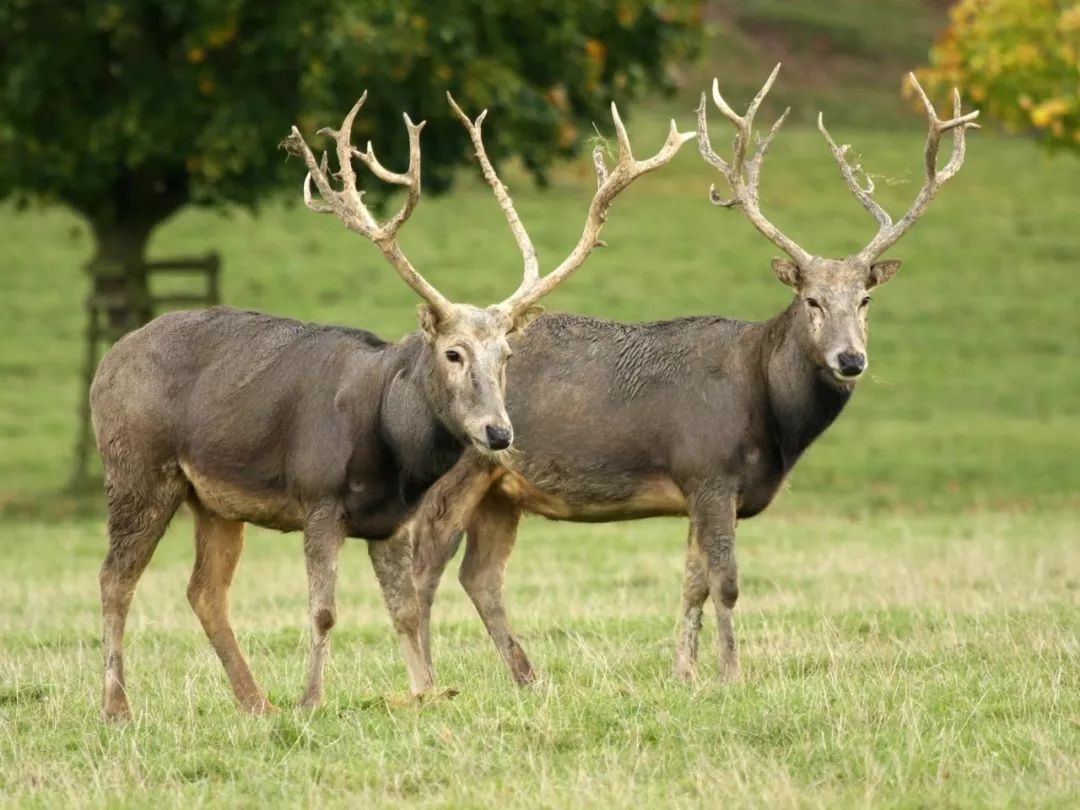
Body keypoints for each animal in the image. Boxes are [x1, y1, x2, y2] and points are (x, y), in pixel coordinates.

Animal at [88, 93, 686, 721]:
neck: (388, 446)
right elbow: (325, 611)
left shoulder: (391, 520)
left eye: (506, 354)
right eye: (452, 352)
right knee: (114, 578)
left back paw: (255, 703)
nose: (498, 433)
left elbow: (403, 609)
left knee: (204, 590)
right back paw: (117, 706)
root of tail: (106, 363)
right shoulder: (318, 496)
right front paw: (311, 701)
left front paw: (426, 692)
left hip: (214, 501)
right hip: (137, 469)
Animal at [406, 69, 980, 686]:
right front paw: (731, 673)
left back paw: (527, 677)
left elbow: (692, 583)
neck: (769, 413)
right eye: (812, 300)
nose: (850, 359)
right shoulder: (709, 468)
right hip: (459, 467)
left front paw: (684, 672)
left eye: (866, 299)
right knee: (425, 562)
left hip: (502, 488)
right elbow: (726, 584)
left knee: (480, 576)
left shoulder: (699, 486)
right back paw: (432, 678)